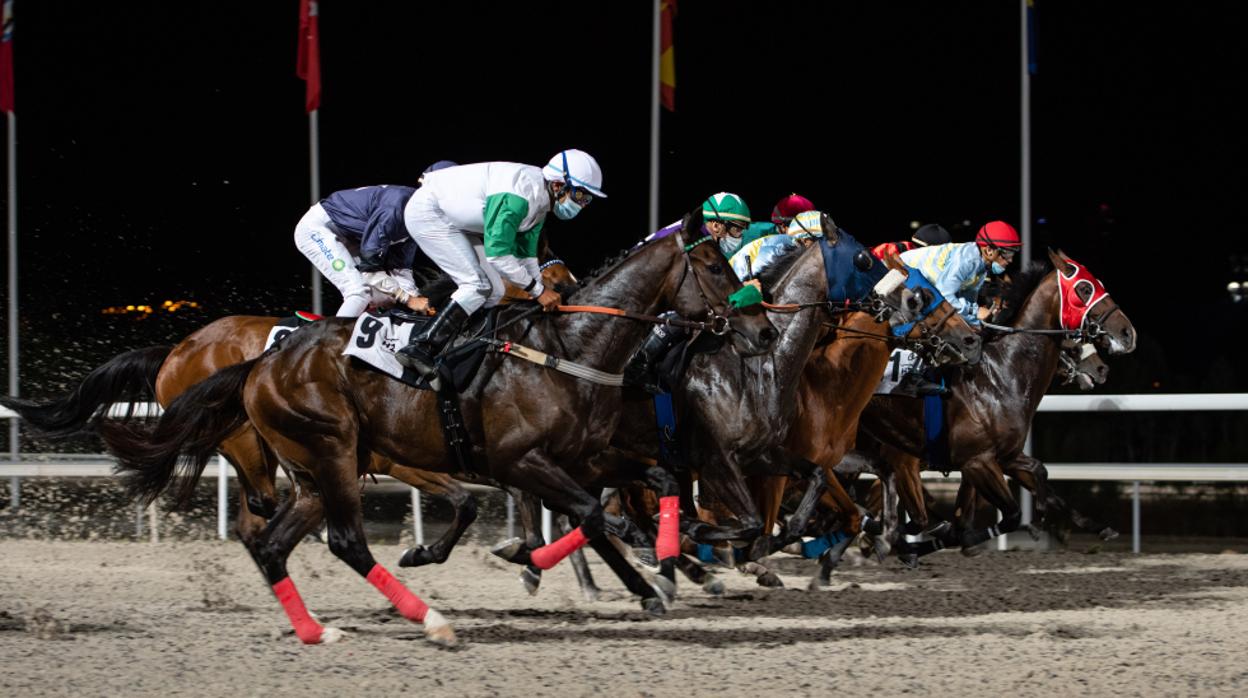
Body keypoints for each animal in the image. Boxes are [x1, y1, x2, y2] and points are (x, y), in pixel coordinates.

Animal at [99, 216, 778, 649]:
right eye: (714, 265)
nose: (764, 330)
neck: (567, 348)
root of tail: (260, 363)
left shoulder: (585, 455)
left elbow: (653, 483)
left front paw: (677, 556)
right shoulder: (516, 460)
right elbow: (586, 516)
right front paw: (532, 556)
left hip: (313, 470)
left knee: (272, 543)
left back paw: (318, 630)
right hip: (327, 450)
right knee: (338, 539)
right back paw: (431, 621)